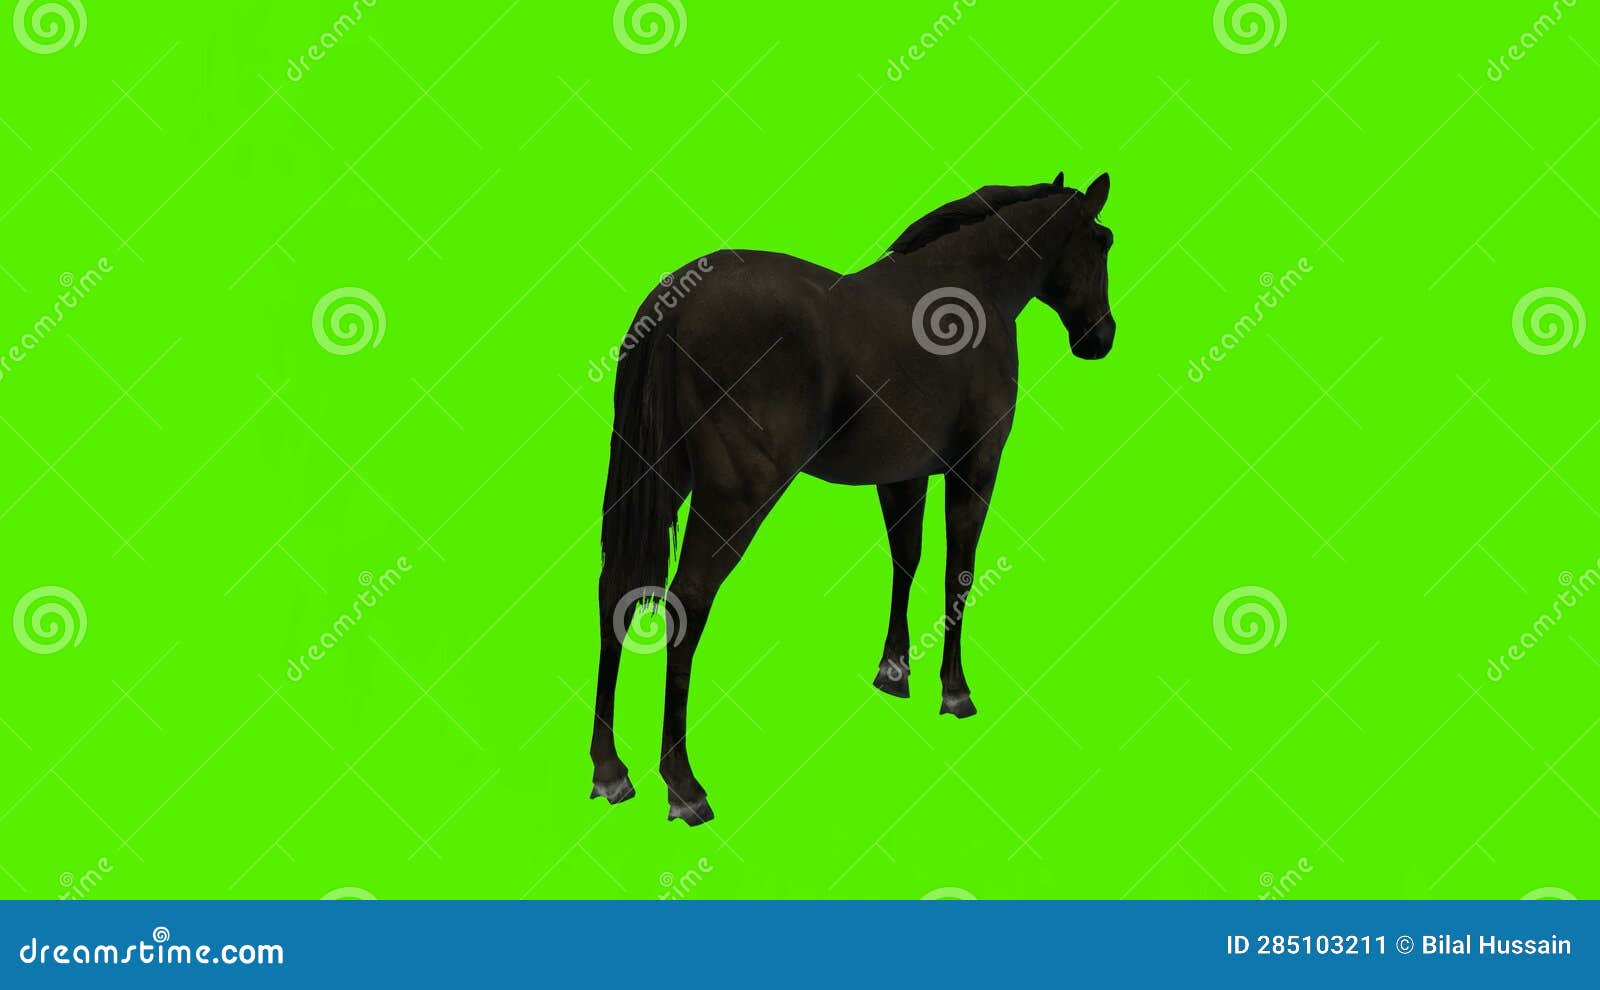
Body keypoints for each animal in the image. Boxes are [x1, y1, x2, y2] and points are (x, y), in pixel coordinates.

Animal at [592, 171, 1117, 825]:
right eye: (1102, 242)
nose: (1102, 338)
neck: (972, 288)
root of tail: (676, 302)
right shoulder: (975, 468)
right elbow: (959, 571)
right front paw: (955, 691)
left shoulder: (902, 476)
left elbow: (906, 560)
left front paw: (894, 672)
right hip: (735, 499)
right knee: (686, 603)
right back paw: (684, 785)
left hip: (664, 482)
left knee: (616, 592)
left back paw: (610, 770)